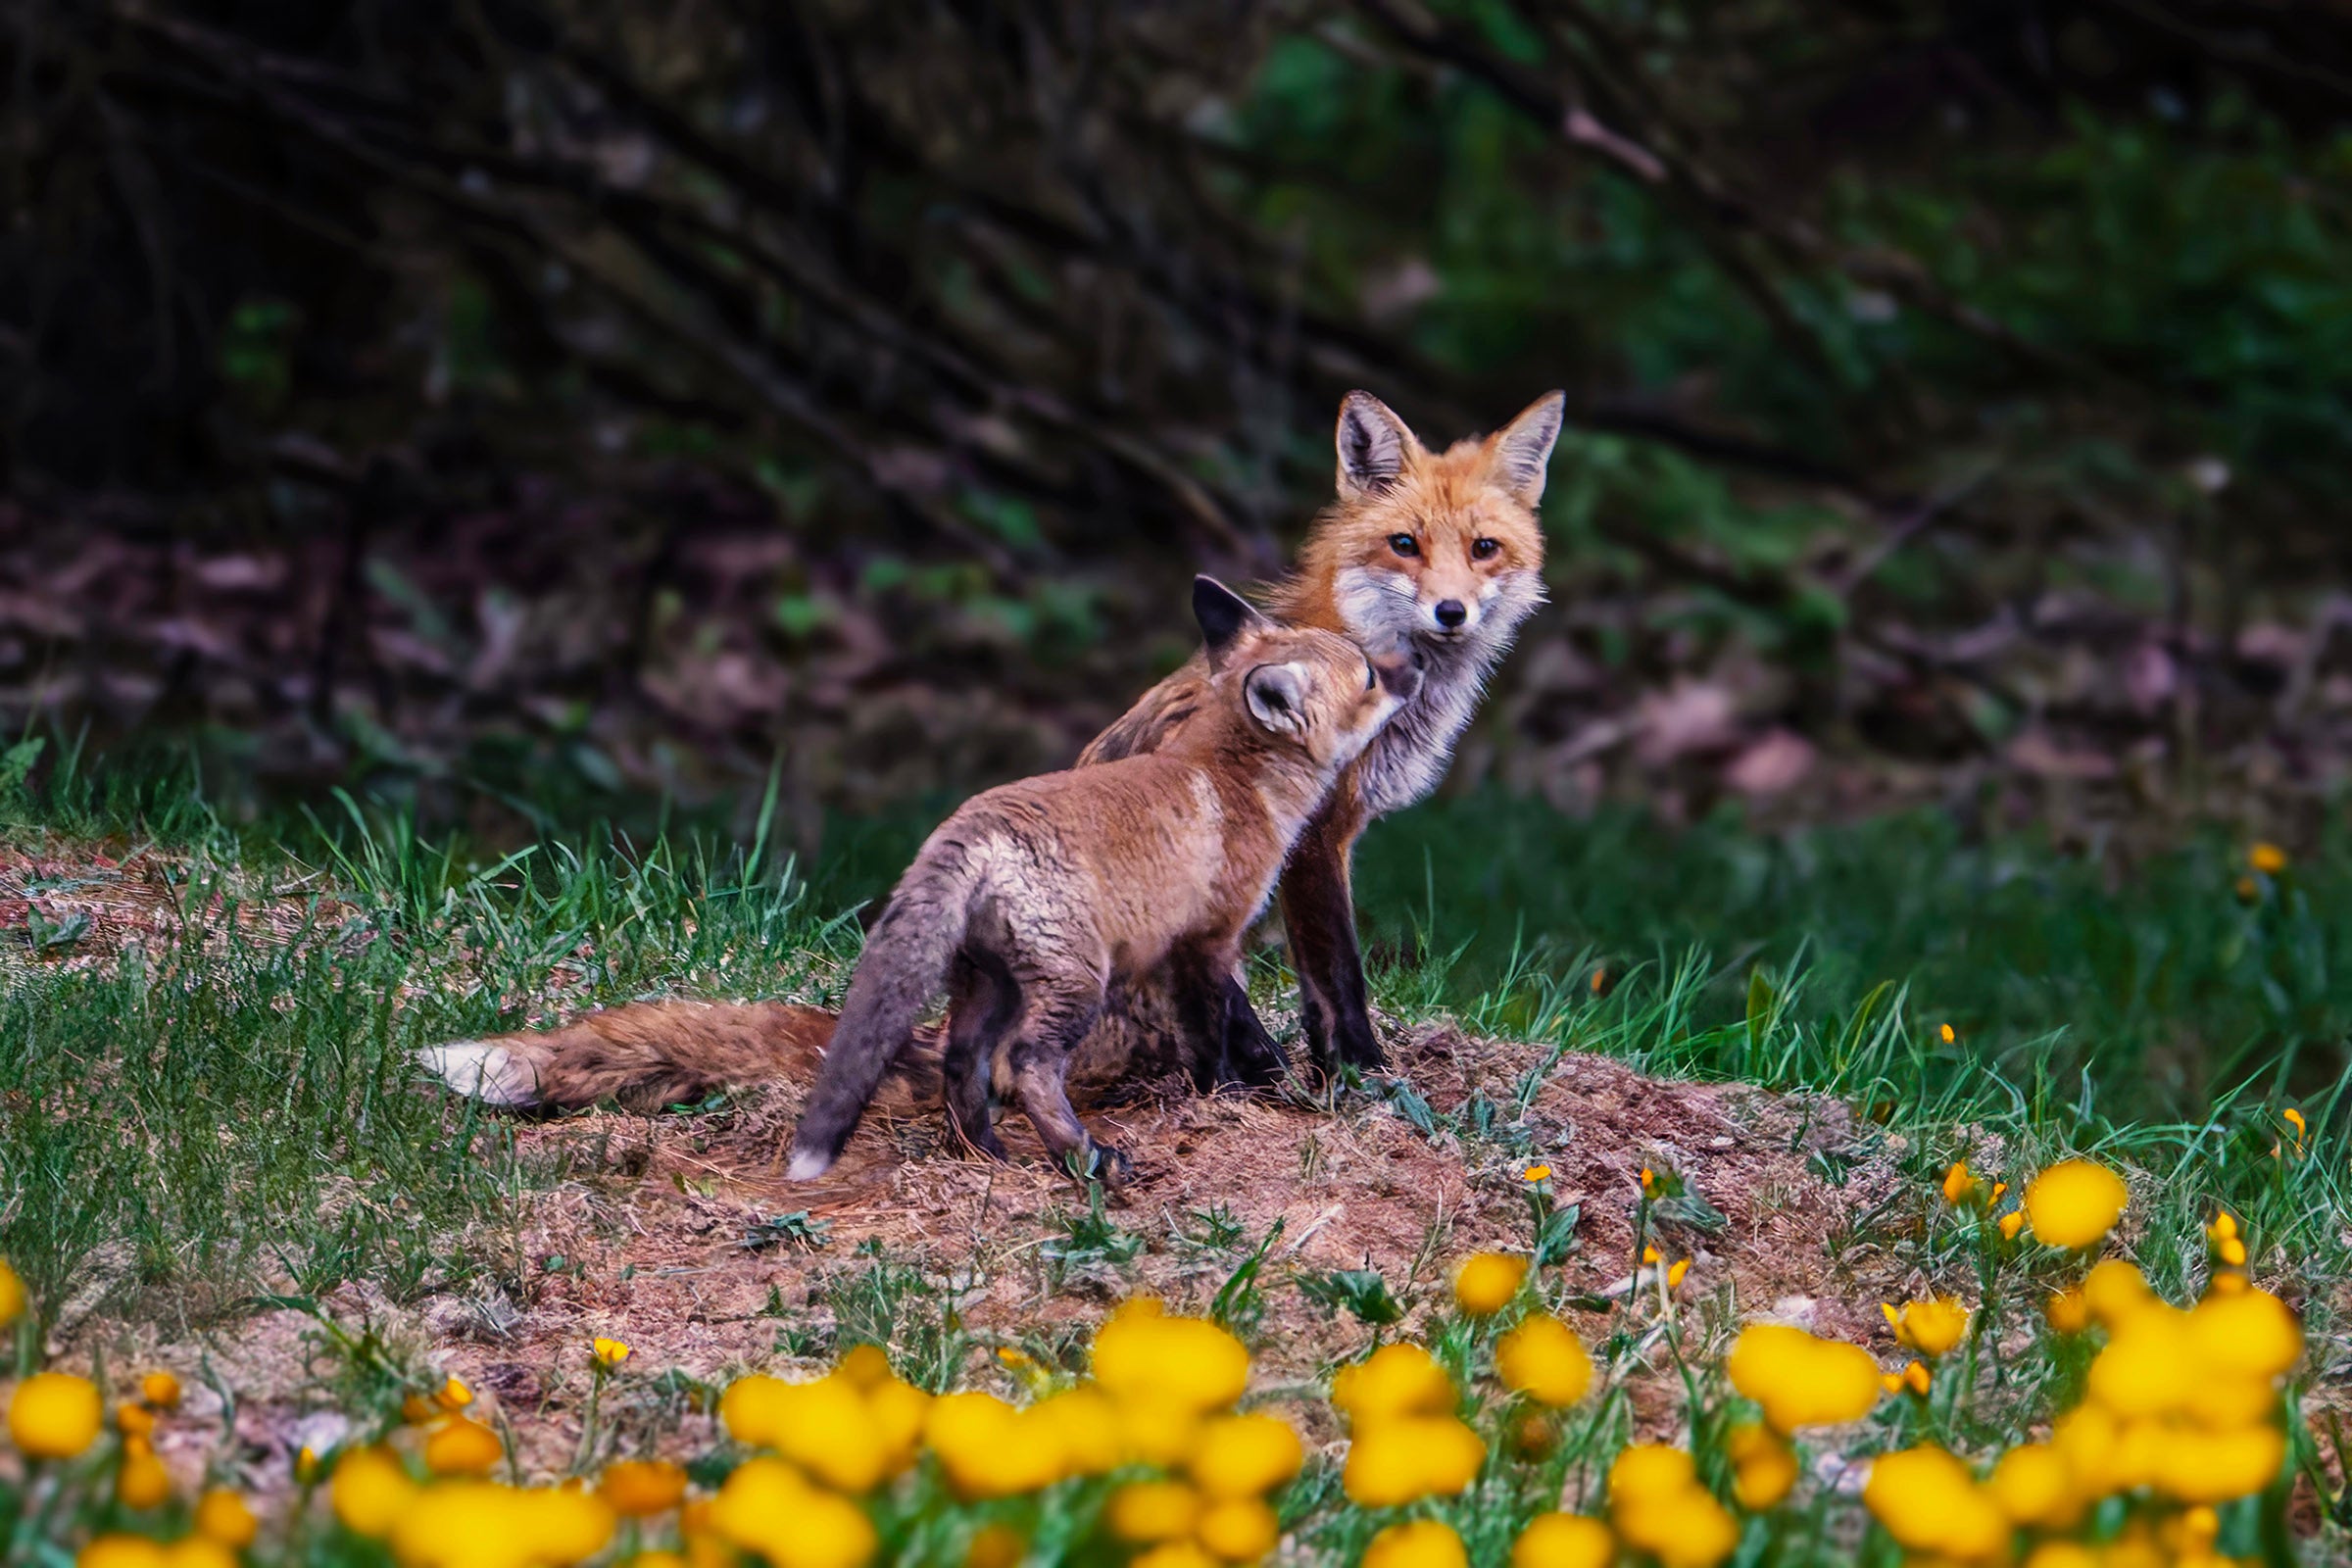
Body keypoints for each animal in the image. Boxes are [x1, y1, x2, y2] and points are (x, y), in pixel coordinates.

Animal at [419, 389, 1560, 1110]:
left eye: (1483, 550)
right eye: (1405, 546)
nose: (1452, 614)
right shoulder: (1317, 840)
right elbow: (1340, 983)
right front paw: (1357, 1081)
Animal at [782, 577, 1421, 1179]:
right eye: (1369, 675)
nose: (1414, 661)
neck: (1238, 781)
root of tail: (969, 828)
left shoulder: (1176, 948)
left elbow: (1201, 1039)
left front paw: (1216, 1099)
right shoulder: (1211, 938)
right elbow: (1215, 1032)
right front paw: (1230, 1099)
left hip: (987, 984)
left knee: (962, 1062)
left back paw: (985, 1153)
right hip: (1076, 984)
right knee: (1026, 1064)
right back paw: (1086, 1158)